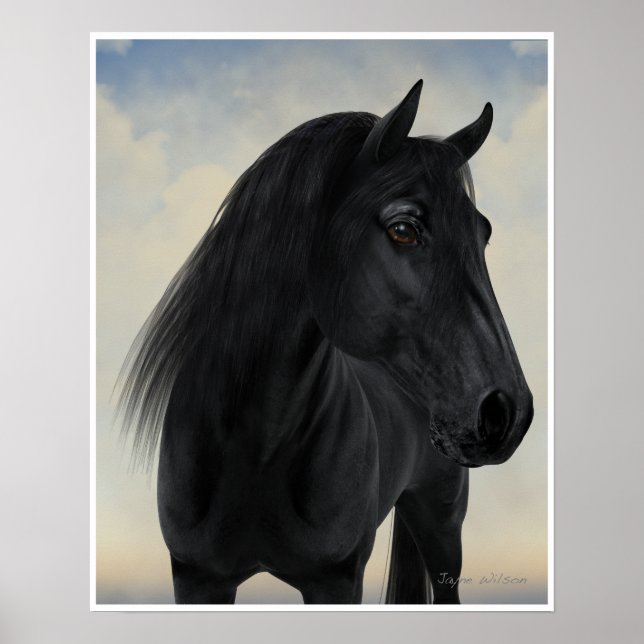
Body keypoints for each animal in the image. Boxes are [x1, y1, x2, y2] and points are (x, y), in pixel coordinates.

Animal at [118, 80, 534, 604]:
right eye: (403, 229)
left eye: (484, 233)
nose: (508, 413)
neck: (257, 448)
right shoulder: (196, 578)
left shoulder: (336, 580)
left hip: (440, 525)